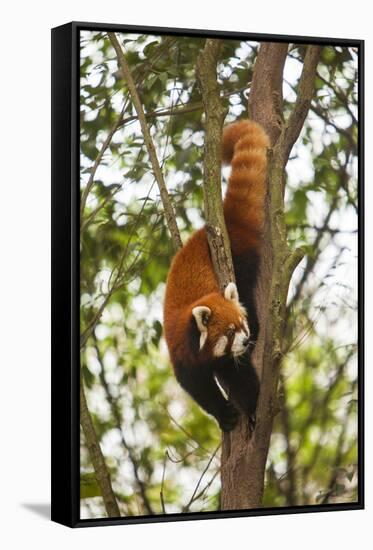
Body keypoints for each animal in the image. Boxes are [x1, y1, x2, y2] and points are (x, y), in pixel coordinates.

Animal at [163, 123, 268, 434]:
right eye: (230, 332)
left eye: (241, 324)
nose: (245, 340)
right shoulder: (183, 355)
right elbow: (199, 389)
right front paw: (225, 414)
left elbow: (240, 375)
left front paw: (253, 407)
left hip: (242, 261)